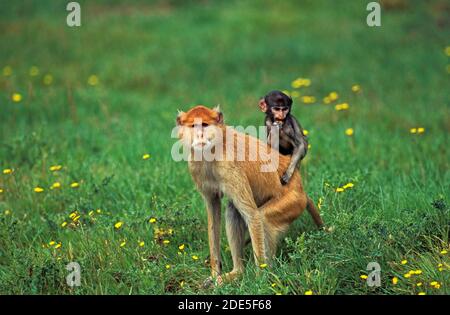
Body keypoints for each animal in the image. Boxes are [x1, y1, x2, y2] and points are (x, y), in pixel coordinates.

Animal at [176, 105, 324, 284]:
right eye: (193, 126)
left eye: (204, 125)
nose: (200, 135)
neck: (214, 148)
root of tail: (299, 185)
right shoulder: (196, 169)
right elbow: (213, 214)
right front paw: (214, 274)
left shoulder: (229, 166)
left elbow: (253, 216)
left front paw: (260, 281)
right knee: (233, 210)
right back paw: (237, 272)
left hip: (292, 201)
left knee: (263, 219)